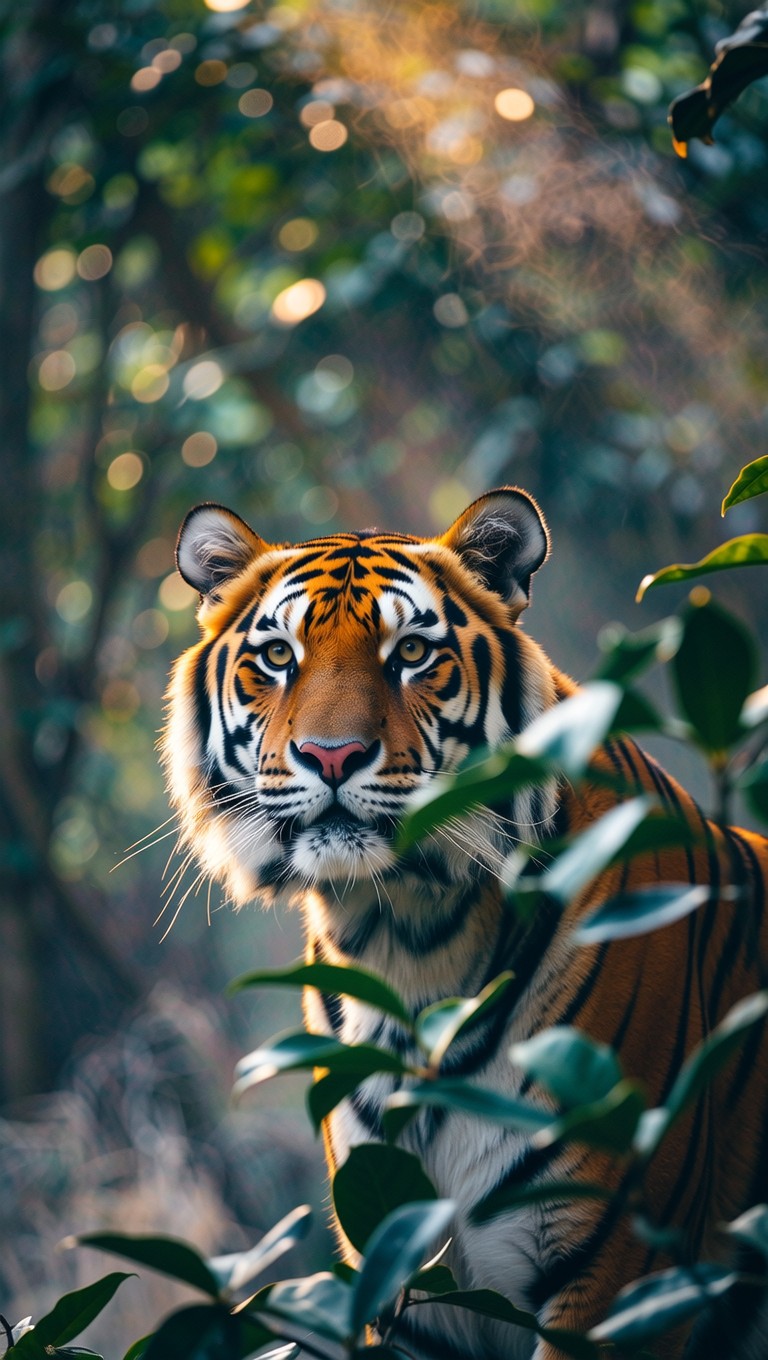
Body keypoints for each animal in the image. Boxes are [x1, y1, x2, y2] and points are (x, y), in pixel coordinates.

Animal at [161, 486, 768, 1360]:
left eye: (412, 652)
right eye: (277, 657)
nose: (332, 755)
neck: (403, 941)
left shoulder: (616, 1279)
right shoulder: (404, 1275)